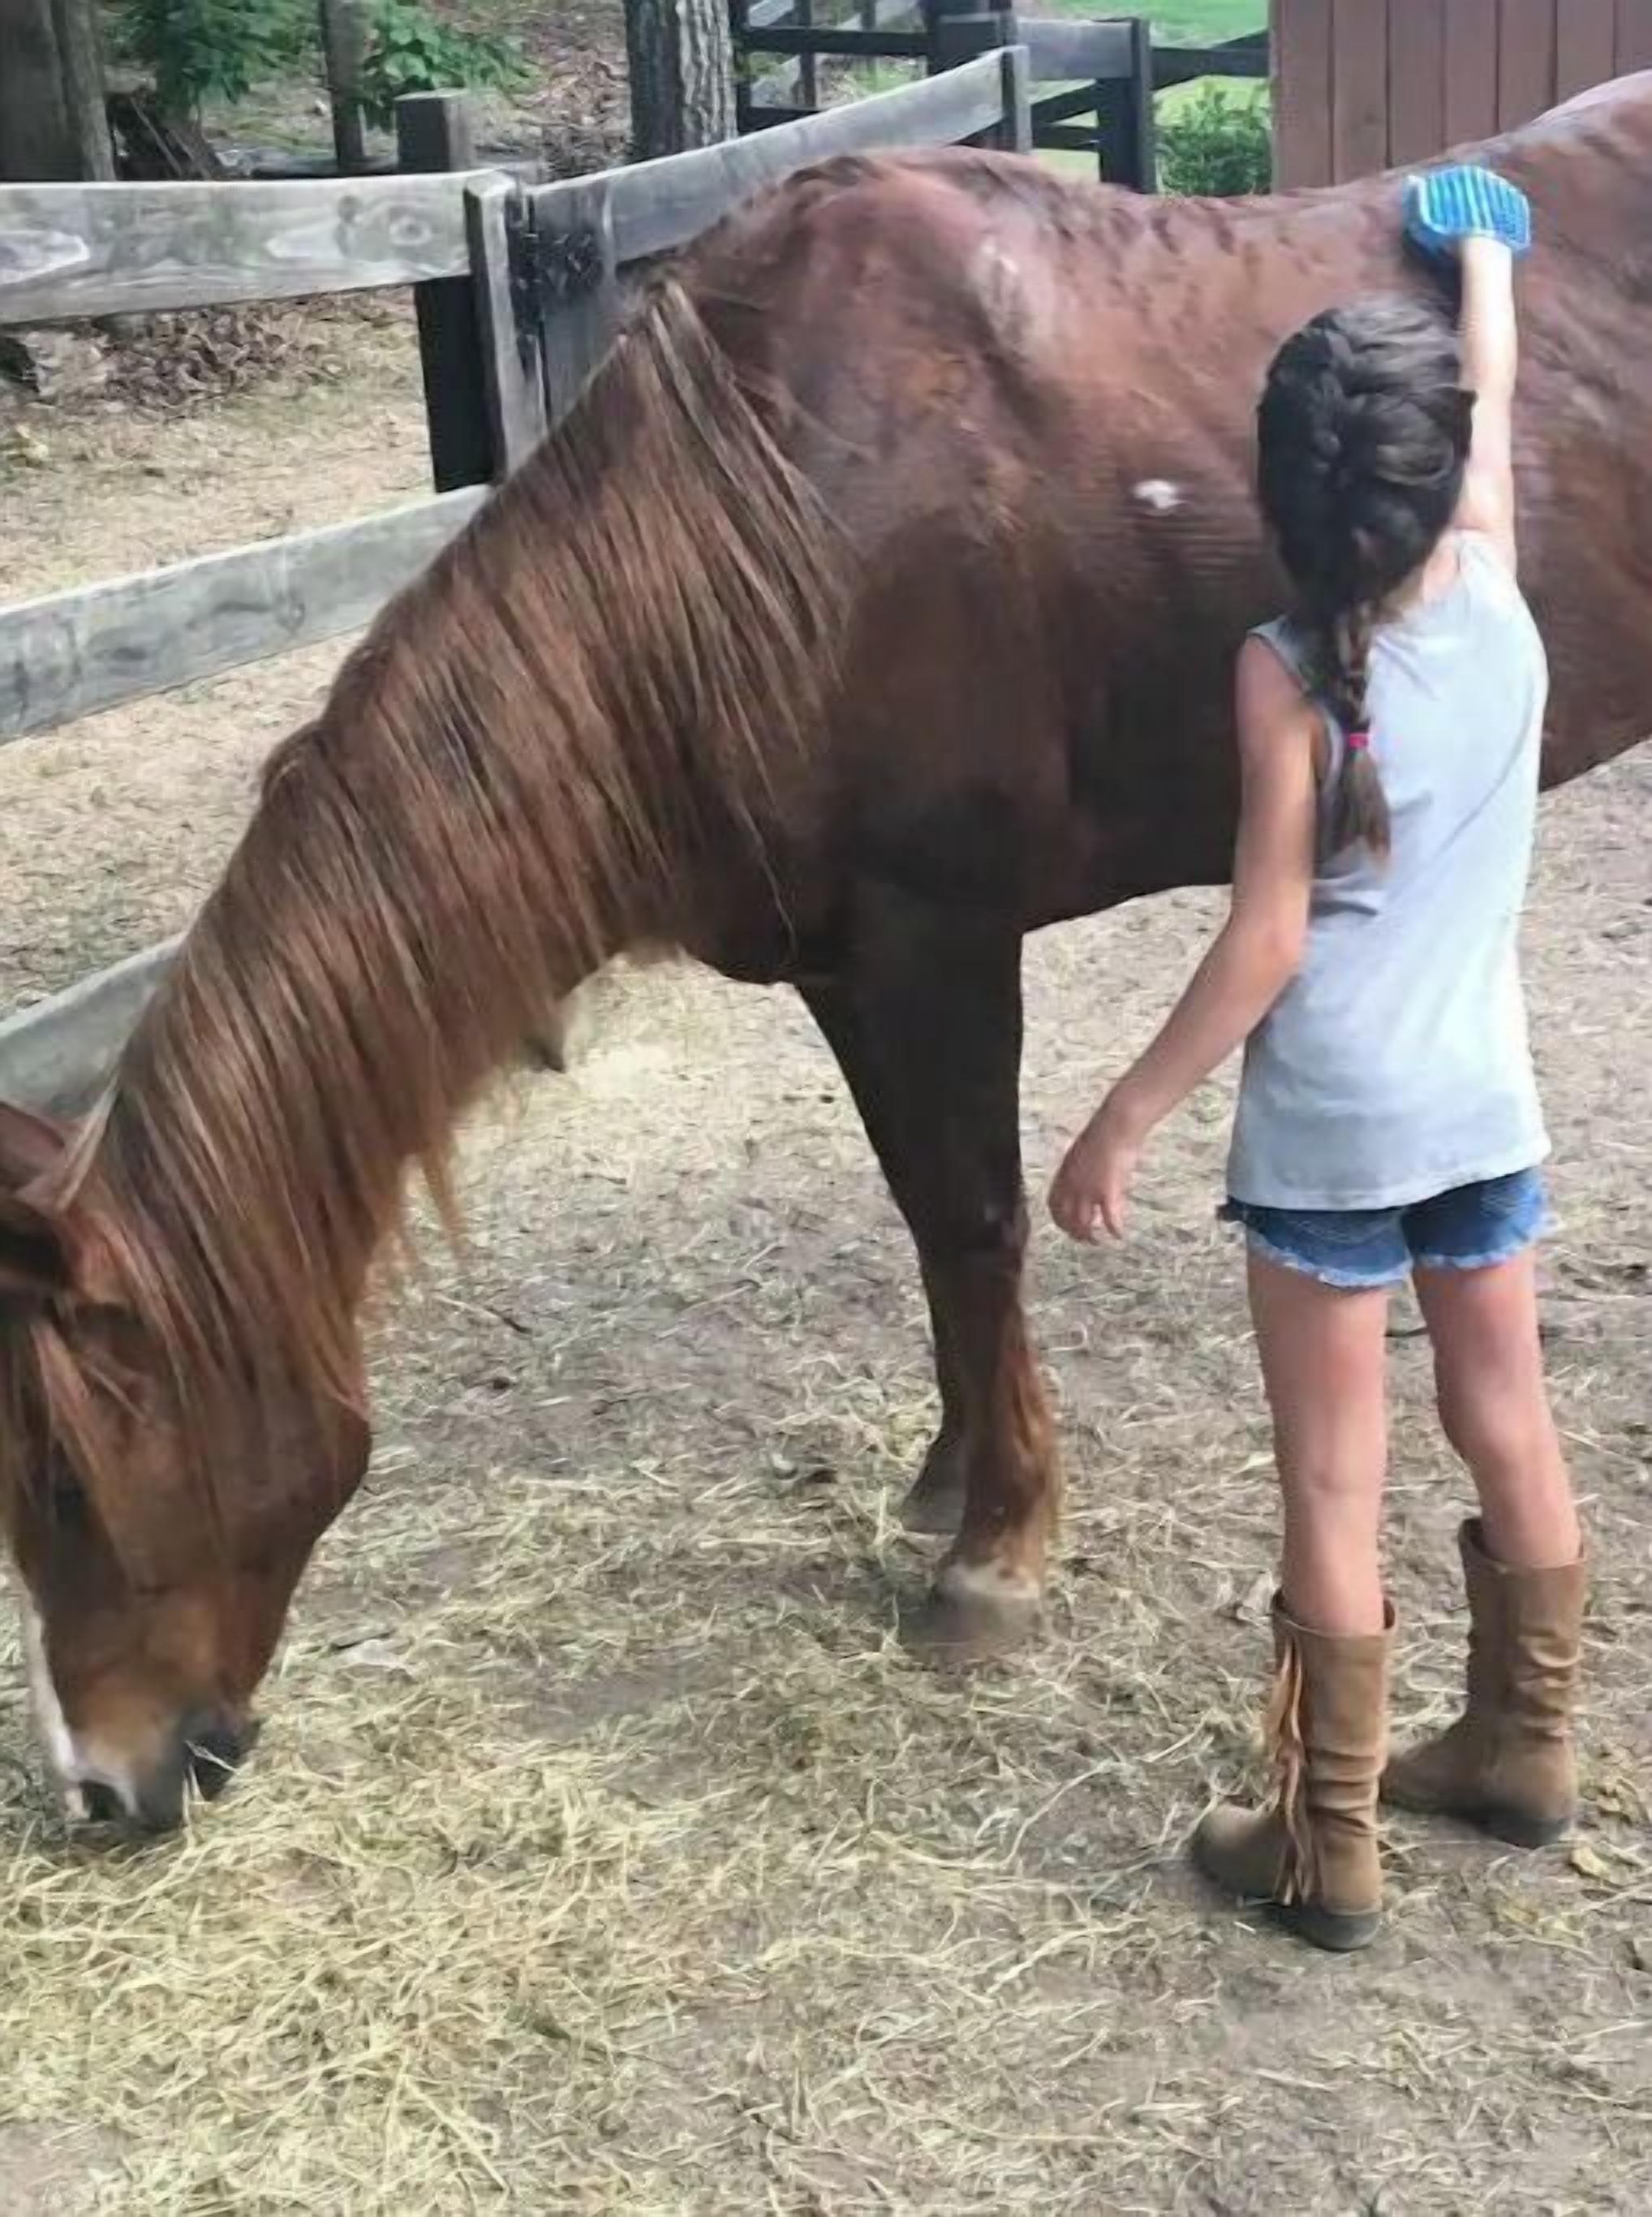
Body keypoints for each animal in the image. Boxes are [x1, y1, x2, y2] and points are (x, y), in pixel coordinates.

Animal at [3, 75, 1650, 1831]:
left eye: (63, 1476)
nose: (101, 1784)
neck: (767, 528)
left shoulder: (938, 937)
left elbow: (979, 1221)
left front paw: (996, 1556)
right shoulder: (848, 966)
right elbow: (928, 1222)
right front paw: (947, 1485)